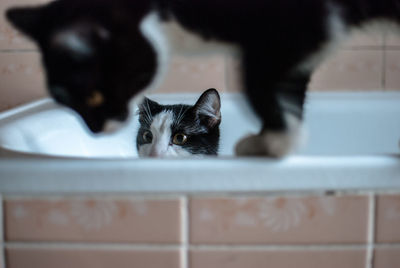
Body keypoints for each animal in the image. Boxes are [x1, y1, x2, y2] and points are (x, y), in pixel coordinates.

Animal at [6, 0, 400, 157]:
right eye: (146, 136)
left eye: (180, 137)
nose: (94, 130)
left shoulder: (289, 26)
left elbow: (265, 85)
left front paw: (273, 144)